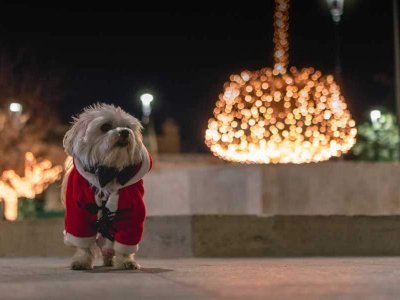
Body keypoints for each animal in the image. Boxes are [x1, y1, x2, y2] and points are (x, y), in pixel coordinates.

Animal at [61, 103, 152, 270]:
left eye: (127, 126)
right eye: (105, 126)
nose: (125, 132)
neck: (109, 171)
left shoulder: (131, 209)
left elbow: (126, 240)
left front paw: (127, 261)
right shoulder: (78, 210)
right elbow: (83, 242)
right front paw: (82, 260)